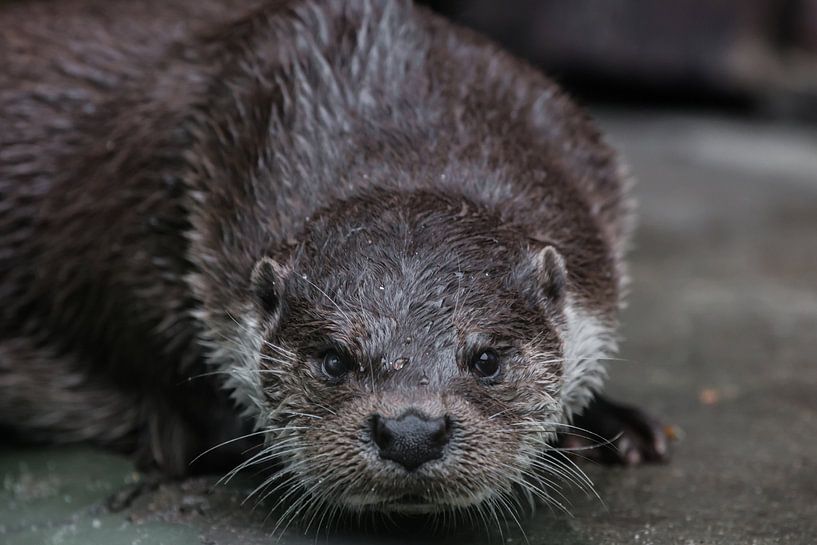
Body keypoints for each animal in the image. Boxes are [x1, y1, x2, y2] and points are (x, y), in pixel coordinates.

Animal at [0, 0, 667, 520]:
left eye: (486, 360)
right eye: (332, 360)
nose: (411, 431)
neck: (390, 104)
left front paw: (611, 423)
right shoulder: (119, 217)